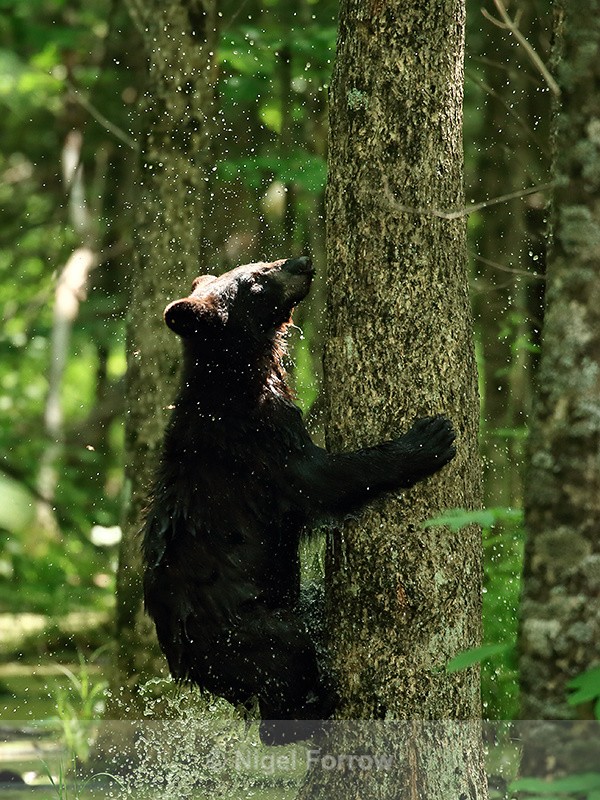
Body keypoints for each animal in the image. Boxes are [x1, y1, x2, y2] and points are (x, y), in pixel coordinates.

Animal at [142, 255, 456, 744]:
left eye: (256, 264)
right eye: (253, 281)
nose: (301, 261)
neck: (238, 381)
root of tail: (184, 665)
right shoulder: (258, 446)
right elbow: (323, 477)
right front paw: (429, 438)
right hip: (246, 629)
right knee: (285, 663)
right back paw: (320, 702)